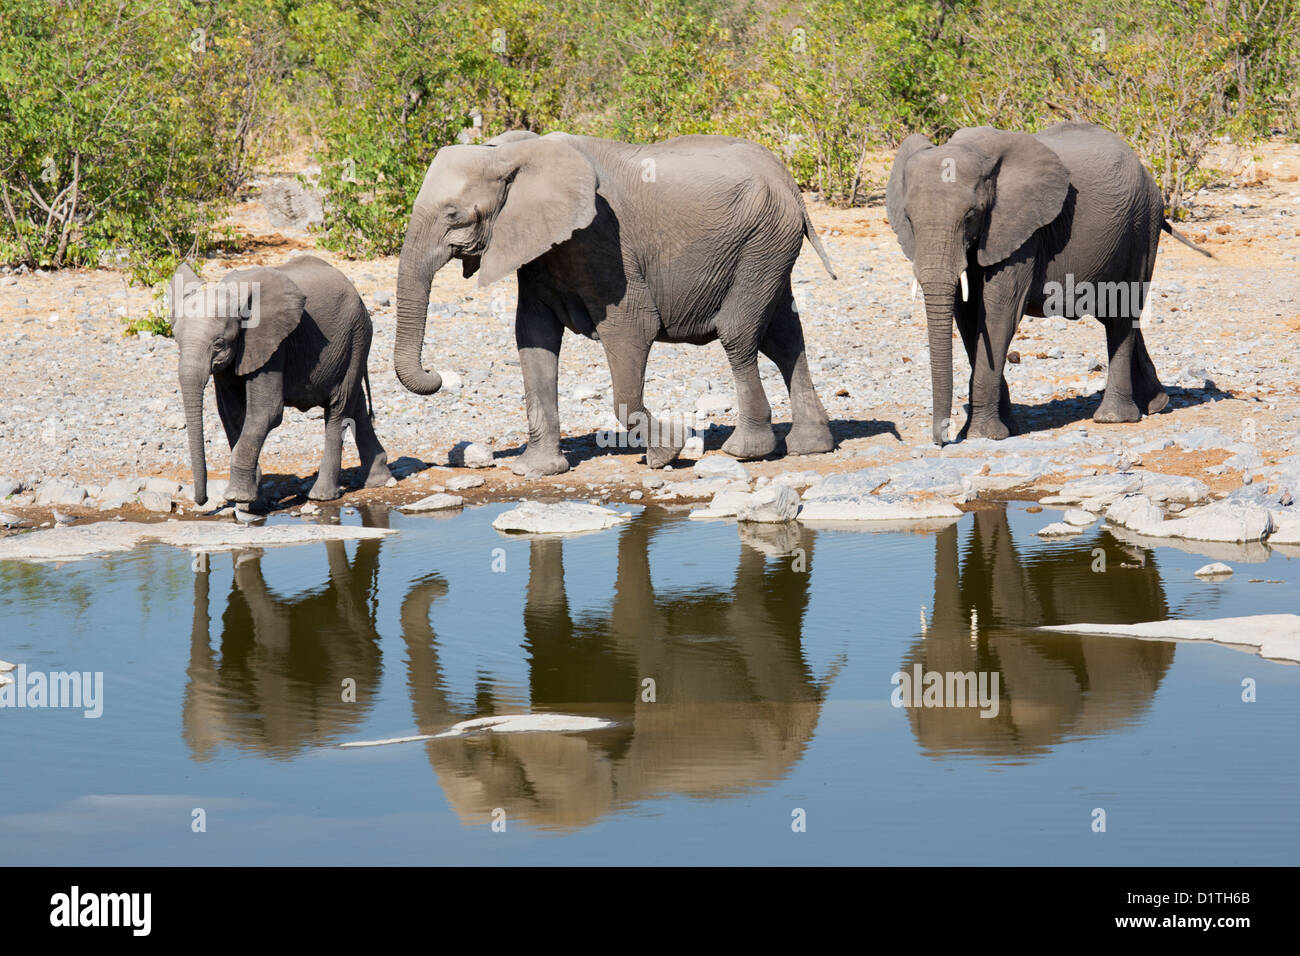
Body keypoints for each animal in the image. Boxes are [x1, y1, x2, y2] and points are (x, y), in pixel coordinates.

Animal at [169, 254, 390, 509]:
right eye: (176, 341)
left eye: (219, 344)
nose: (202, 500)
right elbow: (231, 413)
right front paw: (254, 503)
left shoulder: (272, 345)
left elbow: (266, 412)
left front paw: (238, 497)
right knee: (357, 403)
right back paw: (378, 480)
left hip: (356, 336)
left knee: (339, 408)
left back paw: (322, 495)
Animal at [390, 132, 837, 476]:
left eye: (453, 215)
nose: (435, 374)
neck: (514, 152)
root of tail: (787, 179)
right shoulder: (538, 248)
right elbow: (533, 338)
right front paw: (536, 471)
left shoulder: (603, 240)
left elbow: (631, 329)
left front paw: (667, 453)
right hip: (769, 246)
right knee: (783, 336)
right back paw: (809, 446)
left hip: (761, 241)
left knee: (739, 334)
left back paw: (745, 451)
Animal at [889, 121, 1211, 447]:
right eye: (909, 219)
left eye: (970, 215)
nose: (942, 439)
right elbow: (967, 315)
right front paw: (1002, 428)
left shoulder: (1023, 233)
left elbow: (998, 313)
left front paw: (982, 435)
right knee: (1113, 314)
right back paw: (1156, 404)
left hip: (1141, 226)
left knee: (1123, 312)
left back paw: (1113, 417)